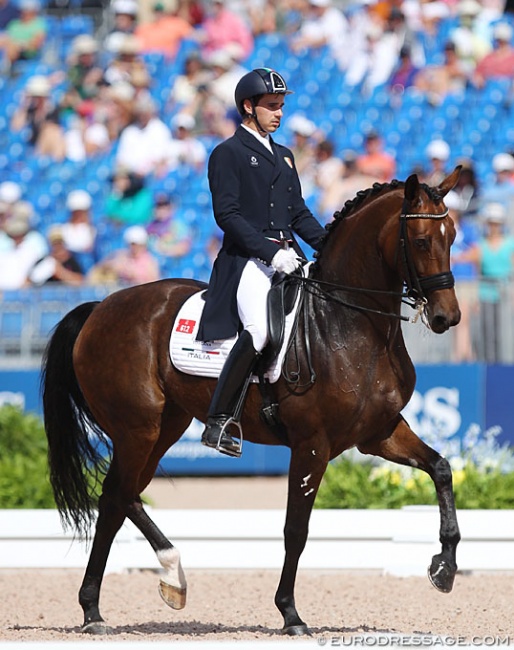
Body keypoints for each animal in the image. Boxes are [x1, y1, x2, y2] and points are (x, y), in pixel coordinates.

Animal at [42, 167, 460, 632]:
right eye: (421, 241)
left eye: (453, 237)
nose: (447, 317)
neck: (348, 322)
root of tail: (100, 308)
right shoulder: (312, 444)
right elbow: (296, 529)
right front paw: (290, 613)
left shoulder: (379, 433)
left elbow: (441, 469)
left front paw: (443, 568)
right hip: (137, 429)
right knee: (114, 496)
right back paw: (93, 609)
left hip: (163, 429)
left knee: (124, 496)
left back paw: (171, 579)